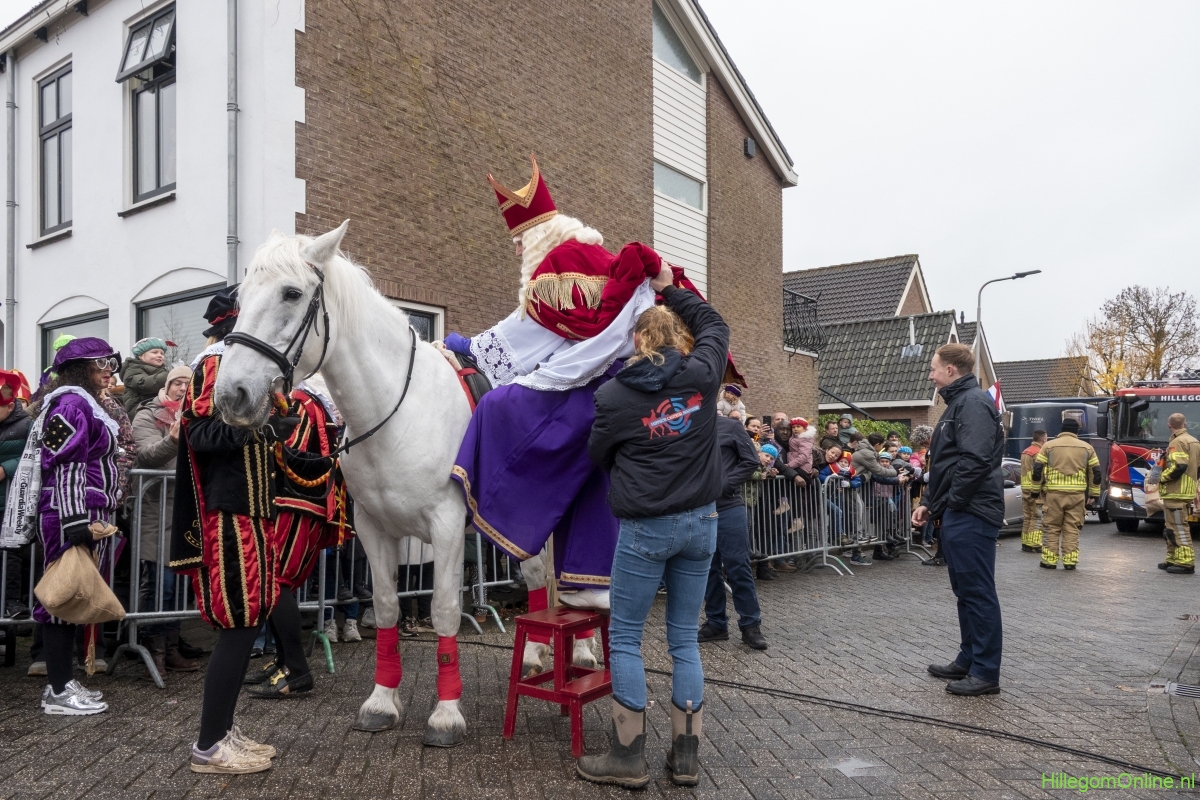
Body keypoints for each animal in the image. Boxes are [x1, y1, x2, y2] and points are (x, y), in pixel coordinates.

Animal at [213, 221, 595, 746]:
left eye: (291, 293)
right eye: (241, 294)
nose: (232, 395)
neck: (397, 409)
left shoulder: (447, 528)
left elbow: (445, 610)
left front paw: (446, 713)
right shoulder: (375, 530)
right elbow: (388, 607)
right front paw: (381, 701)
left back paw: (583, 654)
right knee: (540, 576)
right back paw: (538, 653)